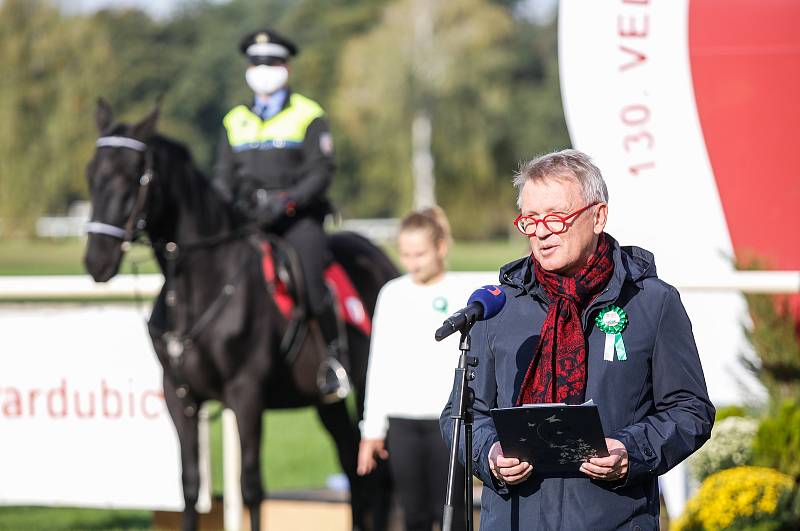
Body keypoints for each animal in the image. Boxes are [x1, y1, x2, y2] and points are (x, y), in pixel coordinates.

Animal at [83, 101, 396, 531]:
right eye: (92, 175)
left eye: (134, 176)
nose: (97, 260)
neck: (202, 287)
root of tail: (380, 258)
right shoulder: (180, 396)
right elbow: (190, 485)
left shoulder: (245, 395)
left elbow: (251, 487)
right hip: (326, 402)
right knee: (353, 465)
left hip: (367, 387)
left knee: (376, 474)